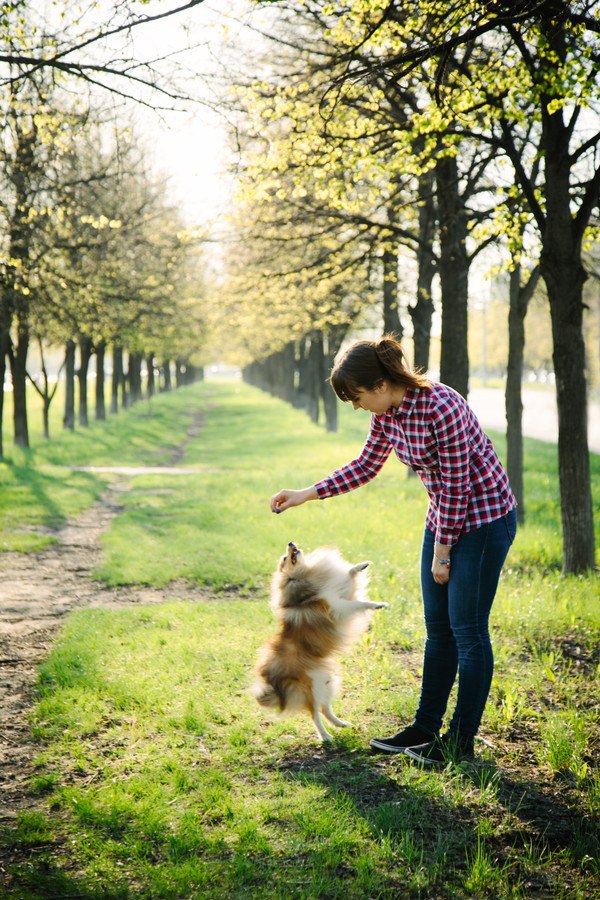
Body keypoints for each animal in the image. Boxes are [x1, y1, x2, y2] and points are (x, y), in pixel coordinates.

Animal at [251, 540, 386, 740]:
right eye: (284, 558)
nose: (290, 542)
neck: (306, 573)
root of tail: (272, 679)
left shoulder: (340, 592)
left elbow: (349, 574)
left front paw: (361, 565)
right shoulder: (336, 606)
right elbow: (357, 603)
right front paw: (377, 604)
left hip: (327, 681)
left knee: (324, 709)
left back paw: (341, 724)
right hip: (312, 688)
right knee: (314, 713)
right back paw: (326, 736)